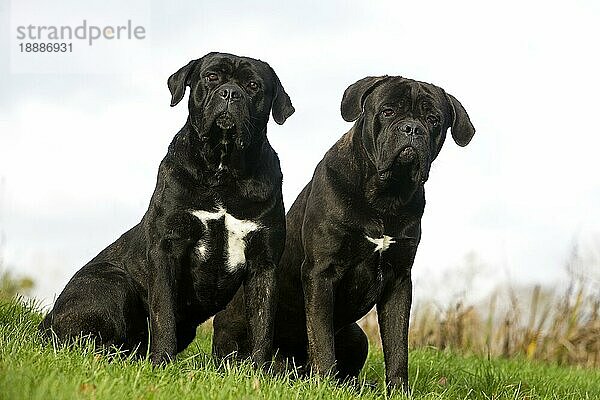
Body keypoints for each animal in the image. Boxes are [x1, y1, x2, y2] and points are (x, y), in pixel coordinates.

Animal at [39, 50, 296, 366]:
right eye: (211, 77)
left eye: (253, 85)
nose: (229, 93)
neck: (223, 171)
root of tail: (46, 321)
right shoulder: (167, 246)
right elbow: (164, 314)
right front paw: (161, 361)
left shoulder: (263, 262)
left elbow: (262, 326)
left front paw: (257, 371)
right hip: (112, 282)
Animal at [213, 75, 476, 390]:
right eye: (388, 111)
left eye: (433, 119)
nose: (412, 128)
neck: (385, 197)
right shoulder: (321, 272)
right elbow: (322, 336)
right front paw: (325, 382)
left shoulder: (399, 280)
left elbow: (397, 345)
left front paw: (398, 389)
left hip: (356, 335)